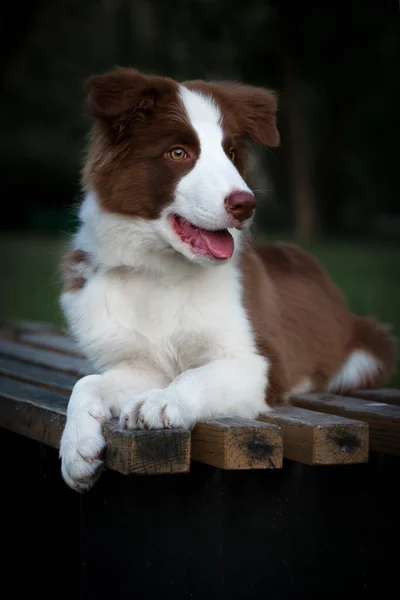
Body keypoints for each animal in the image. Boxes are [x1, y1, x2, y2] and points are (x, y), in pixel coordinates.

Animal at [59, 69, 396, 492]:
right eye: (178, 153)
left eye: (232, 153)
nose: (245, 204)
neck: (163, 270)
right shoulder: (140, 366)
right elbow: (86, 383)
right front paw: (76, 449)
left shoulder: (260, 364)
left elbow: (195, 374)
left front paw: (162, 401)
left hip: (365, 351)